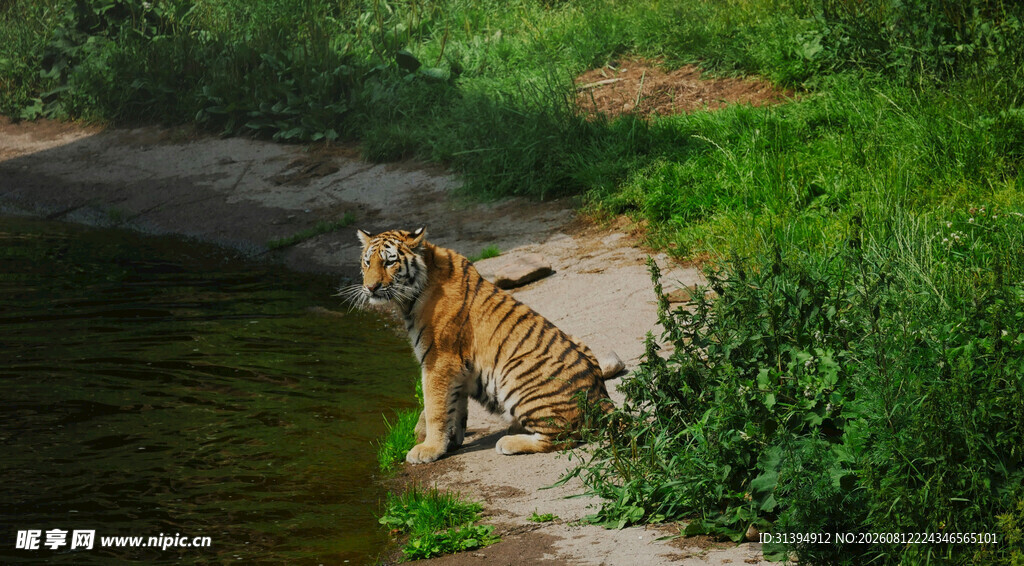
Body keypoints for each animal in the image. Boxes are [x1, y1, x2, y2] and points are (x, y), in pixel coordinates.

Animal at [340, 227, 616, 464]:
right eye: (367, 262)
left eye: (389, 262)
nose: (371, 287)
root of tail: (602, 397)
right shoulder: (456, 370)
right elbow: (454, 408)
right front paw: (449, 443)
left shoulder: (438, 362)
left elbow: (435, 408)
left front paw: (427, 449)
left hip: (515, 373)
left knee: (564, 436)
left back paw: (509, 441)